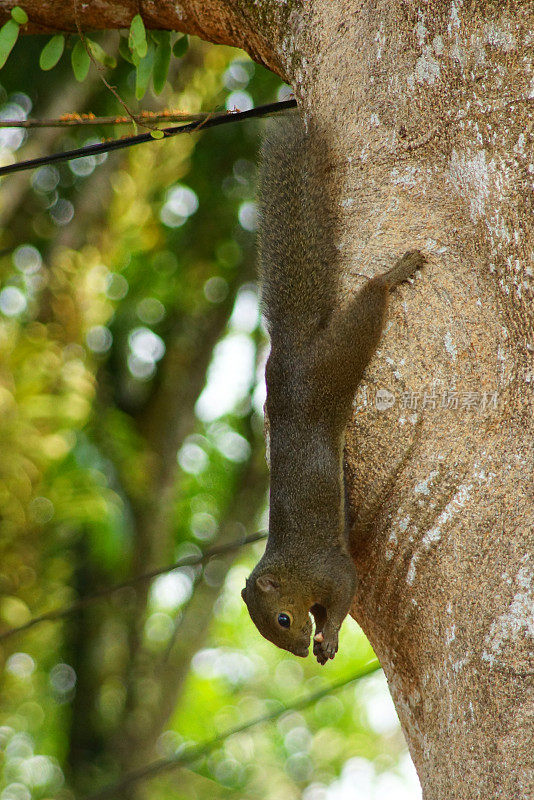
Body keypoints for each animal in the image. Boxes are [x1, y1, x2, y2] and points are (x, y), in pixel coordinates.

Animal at [243, 111, 428, 664]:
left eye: (283, 619)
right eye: (272, 633)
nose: (301, 652)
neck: (293, 571)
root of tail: (287, 354)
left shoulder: (330, 569)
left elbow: (346, 591)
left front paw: (332, 633)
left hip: (334, 365)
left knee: (370, 302)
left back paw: (393, 275)